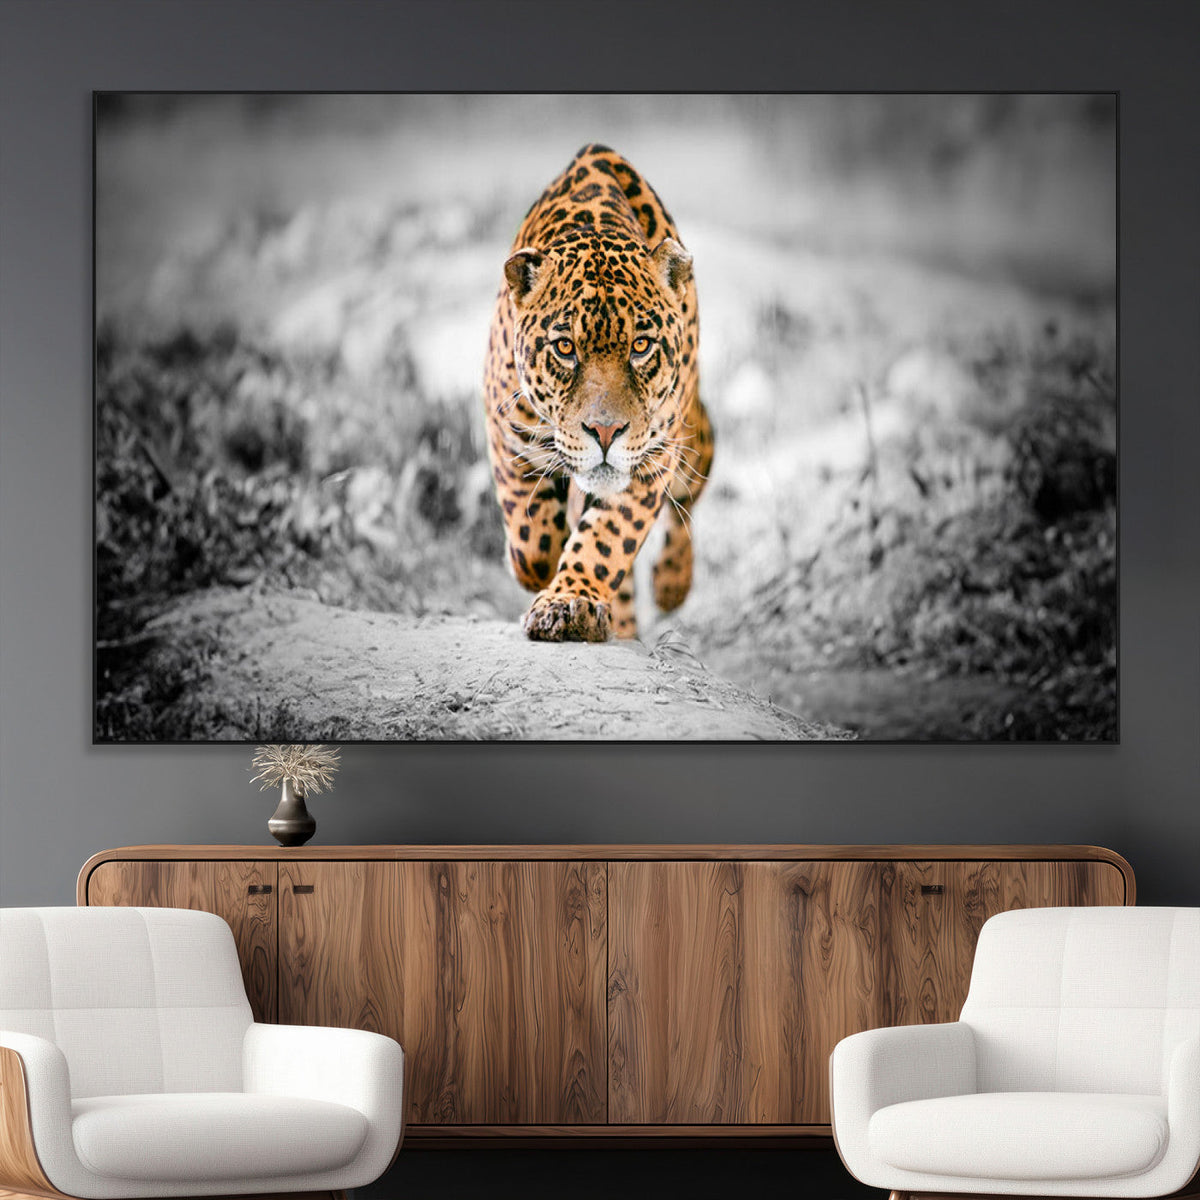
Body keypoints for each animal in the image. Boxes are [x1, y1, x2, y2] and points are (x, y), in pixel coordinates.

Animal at [482, 143, 714, 642]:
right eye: (565, 348)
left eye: (641, 346)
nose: (605, 432)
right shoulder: (506, 427)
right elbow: (531, 538)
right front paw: (538, 569)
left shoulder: (652, 457)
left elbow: (607, 539)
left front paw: (570, 602)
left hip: (693, 440)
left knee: (686, 502)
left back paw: (671, 584)